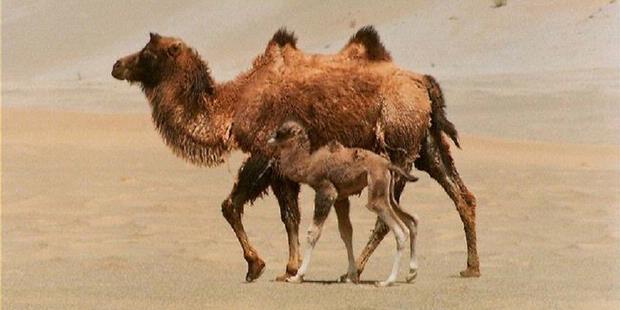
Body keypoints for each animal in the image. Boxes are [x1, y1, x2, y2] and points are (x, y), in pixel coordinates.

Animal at [268, 120, 422, 286]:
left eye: (282, 132)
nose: (269, 139)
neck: (308, 165)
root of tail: (387, 165)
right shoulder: (341, 197)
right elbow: (346, 232)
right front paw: (350, 276)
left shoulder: (326, 191)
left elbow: (313, 232)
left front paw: (297, 276)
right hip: (388, 193)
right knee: (412, 220)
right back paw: (411, 273)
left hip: (376, 194)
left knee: (400, 231)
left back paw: (388, 281)